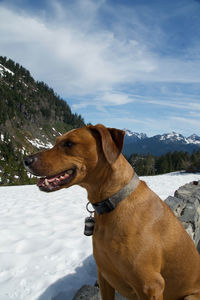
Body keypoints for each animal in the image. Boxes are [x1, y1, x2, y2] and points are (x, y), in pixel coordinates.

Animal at [23, 123, 200, 298]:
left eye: (69, 143)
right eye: (56, 142)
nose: (26, 160)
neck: (112, 203)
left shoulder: (150, 286)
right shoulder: (104, 275)